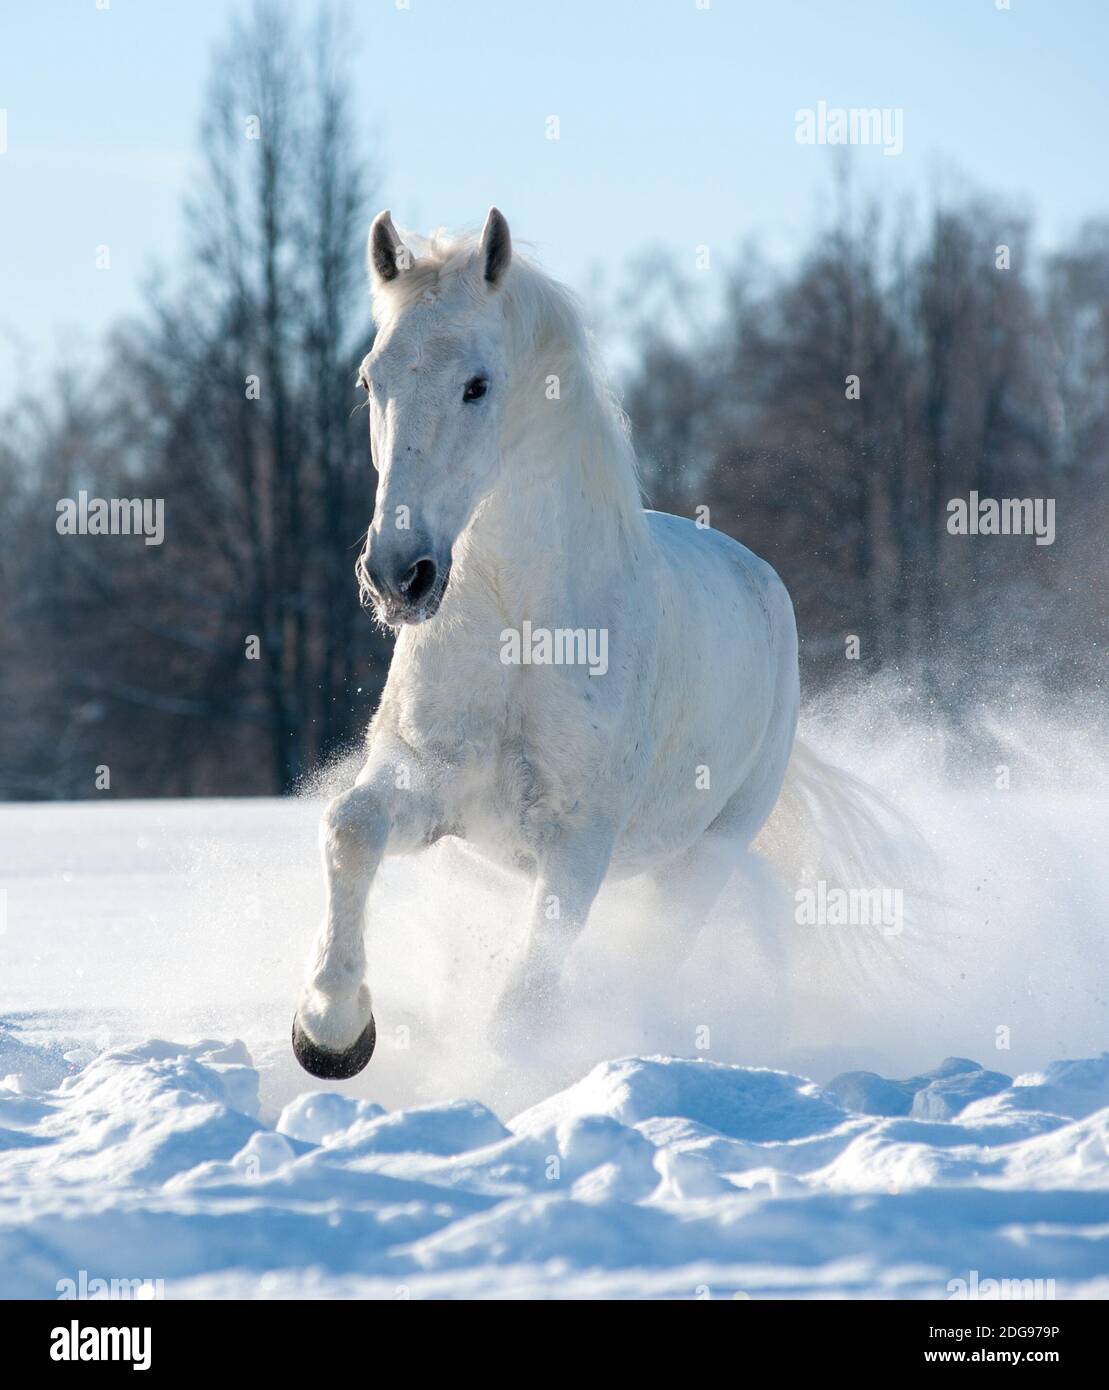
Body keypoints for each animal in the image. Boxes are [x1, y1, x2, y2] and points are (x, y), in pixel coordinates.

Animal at [290, 202, 806, 1073]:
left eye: (477, 385)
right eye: (369, 380)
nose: (398, 575)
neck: (520, 636)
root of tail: (763, 579)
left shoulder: (576, 844)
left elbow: (520, 1017)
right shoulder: (429, 786)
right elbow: (350, 828)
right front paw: (330, 1030)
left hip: (703, 857)